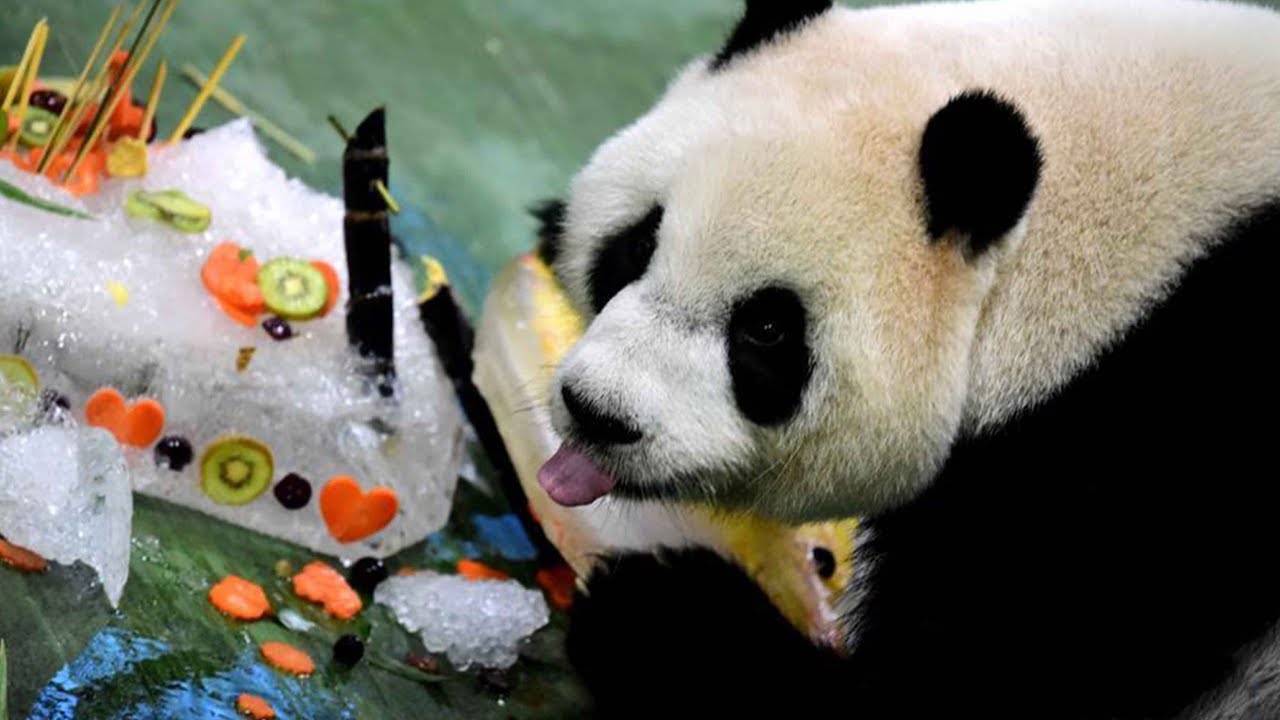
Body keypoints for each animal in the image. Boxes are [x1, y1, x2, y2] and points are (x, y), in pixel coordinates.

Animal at [532, 0, 1280, 718]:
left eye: (767, 329)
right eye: (638, 244)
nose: (598, 412)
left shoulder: (1161, 453)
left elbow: (977, 678)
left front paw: (661, 616)